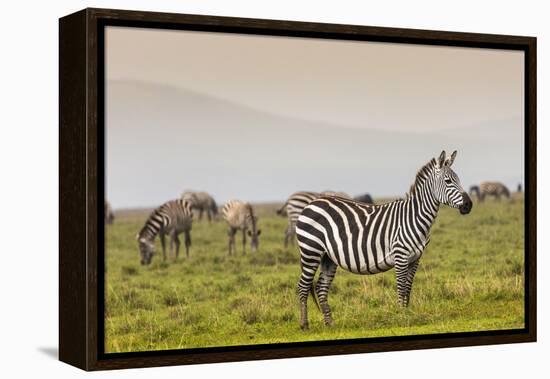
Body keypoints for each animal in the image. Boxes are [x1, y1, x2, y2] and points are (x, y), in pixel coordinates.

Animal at [298, 151, 474, 330]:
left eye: (458, 179)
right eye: (448, 181)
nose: (469, 205)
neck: (414, 217)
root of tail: (312, 203)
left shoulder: (415, 258)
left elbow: (408, 288)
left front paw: (407, 313)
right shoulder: (400, 255)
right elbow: (401, 288)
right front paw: (401, 317)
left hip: (328, 257)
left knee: (321, 287)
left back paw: (330, 324)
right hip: (311, 251)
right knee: (303, 286)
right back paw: (305, 325)